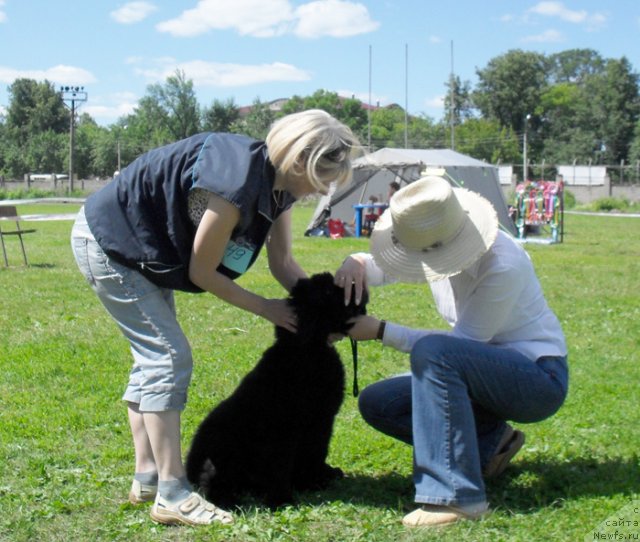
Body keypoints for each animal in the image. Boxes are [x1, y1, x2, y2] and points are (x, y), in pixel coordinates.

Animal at [185, 274, 368, 512]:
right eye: (327, 291)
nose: (357, 284)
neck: (307, 351)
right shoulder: (282, 429)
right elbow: (280, 464)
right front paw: (282, 499)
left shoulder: (322, 421)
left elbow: (317, 451)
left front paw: (314, 480)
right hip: (220, 455)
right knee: (210, 483)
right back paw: (230, 501)